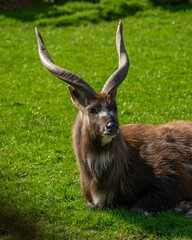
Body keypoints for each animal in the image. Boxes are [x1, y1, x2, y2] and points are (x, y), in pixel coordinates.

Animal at [35, 20, 192, 216]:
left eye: (114, 107)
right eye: (92, 109)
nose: (111, 126)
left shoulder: (173, 178)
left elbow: (138, 207)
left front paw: (184, 207)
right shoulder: (91, 202)